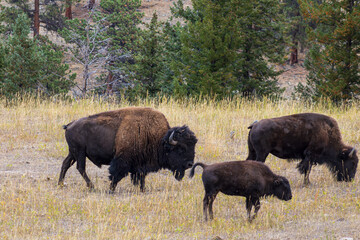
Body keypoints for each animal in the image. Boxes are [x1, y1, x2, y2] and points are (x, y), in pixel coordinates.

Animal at [59, 107, 200, 191]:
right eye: (181, 149)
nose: (190, 164)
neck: (157, 138)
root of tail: (70, 125)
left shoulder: (140, 165)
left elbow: (140, 176)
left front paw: (142, 189)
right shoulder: (122, 159)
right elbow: (116, 174)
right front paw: (111, 189)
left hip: (73, 152)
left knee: (66, 164)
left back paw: (60, 184)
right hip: (79, 152)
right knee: (80, 167)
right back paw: (91, 186)